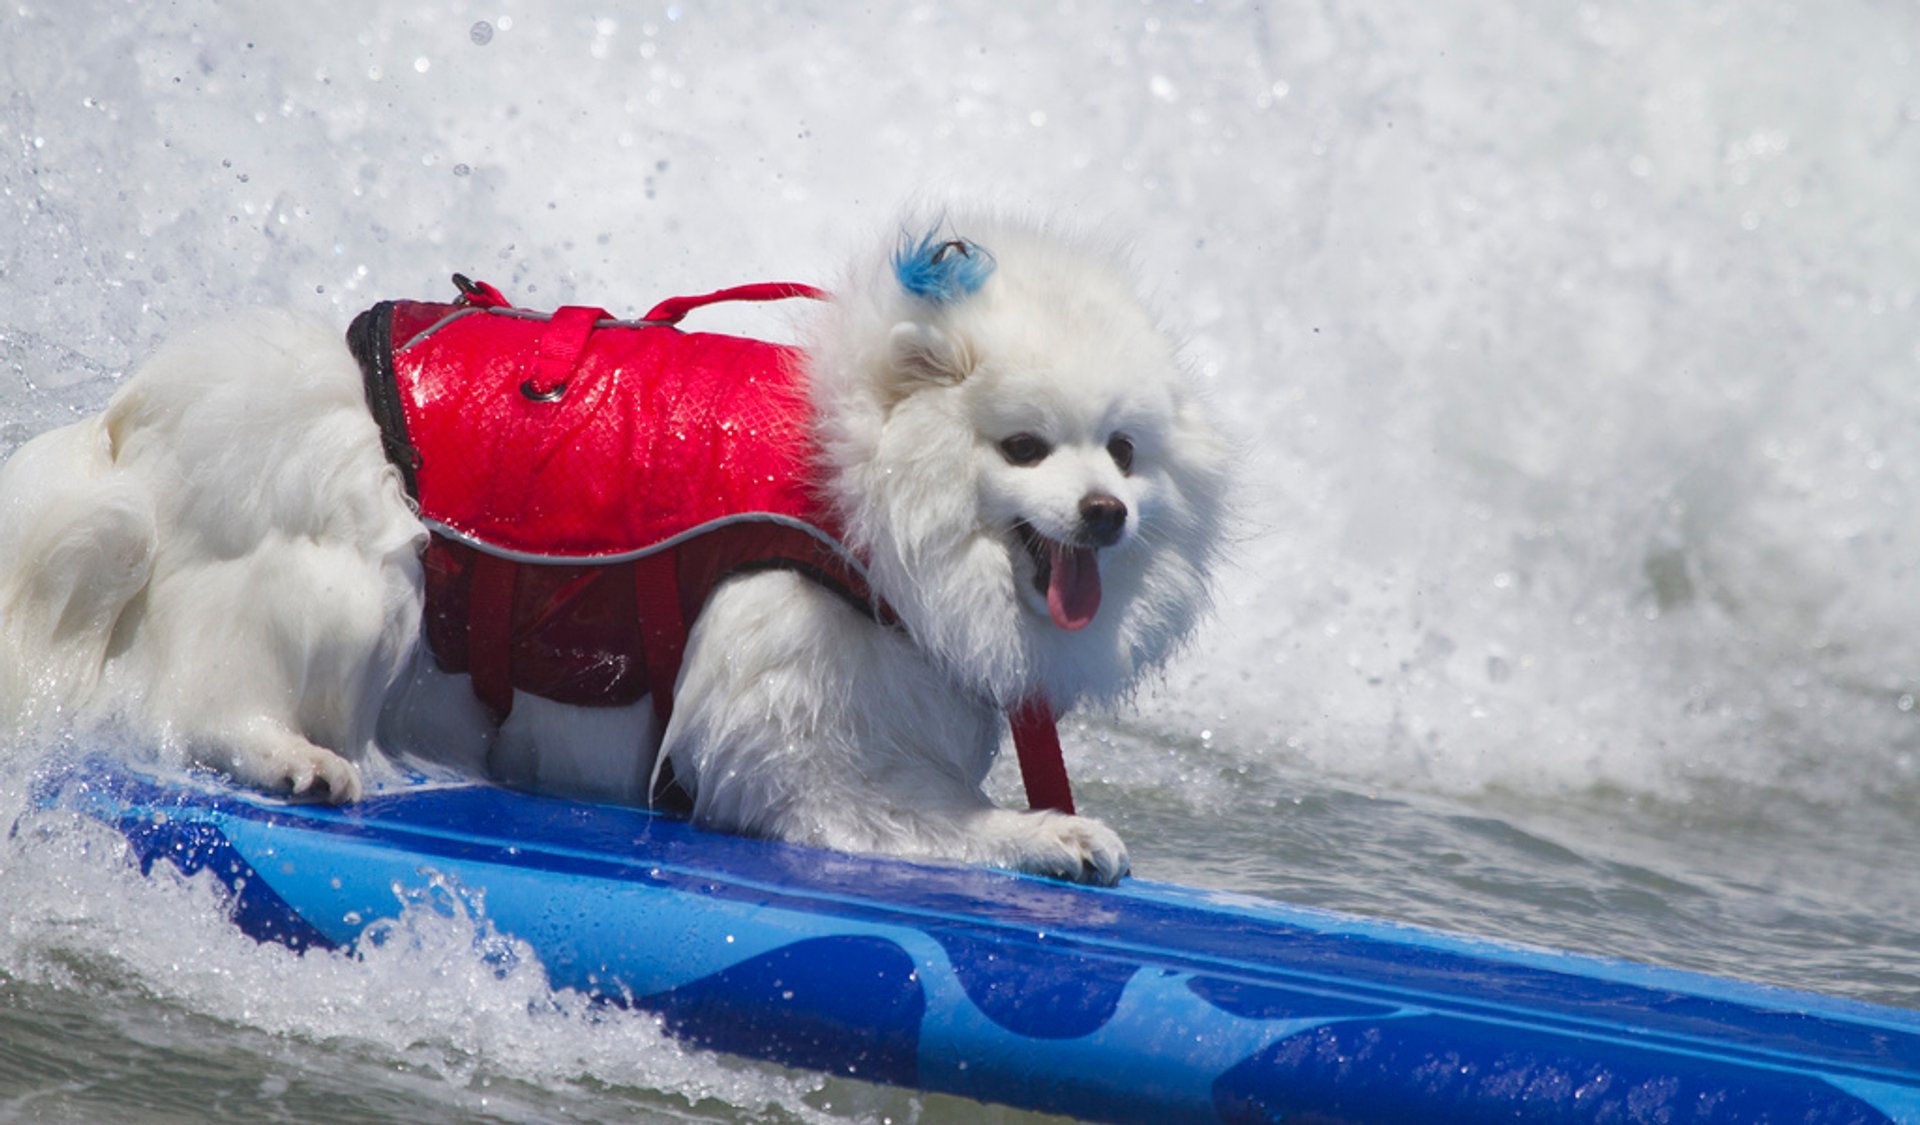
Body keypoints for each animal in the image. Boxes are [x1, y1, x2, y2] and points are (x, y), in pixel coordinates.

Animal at [0, 215, 1228, 879]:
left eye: (1123, 452)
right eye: (1023, 447)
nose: (1106, 513)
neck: (867, 496)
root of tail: (136, 433)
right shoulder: (795, 722)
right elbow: (913, 812)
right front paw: (1047, 830)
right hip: (361, 581)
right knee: (202, 704)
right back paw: (298, 759)